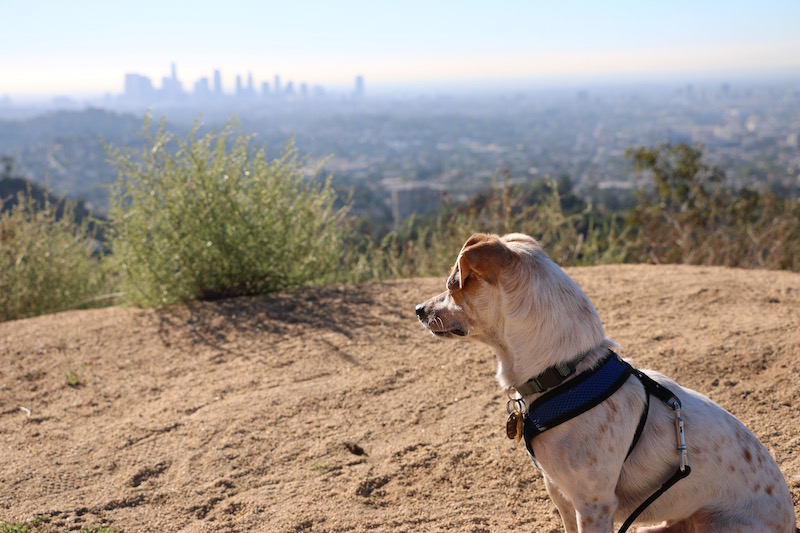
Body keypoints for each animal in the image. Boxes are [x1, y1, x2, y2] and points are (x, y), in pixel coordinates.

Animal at [416, 233, 796, 532]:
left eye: (452, 284)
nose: (419, 309)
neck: (568, 374)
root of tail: (790, 523)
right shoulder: (560, 492)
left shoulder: (594, 504)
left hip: (714, 522)